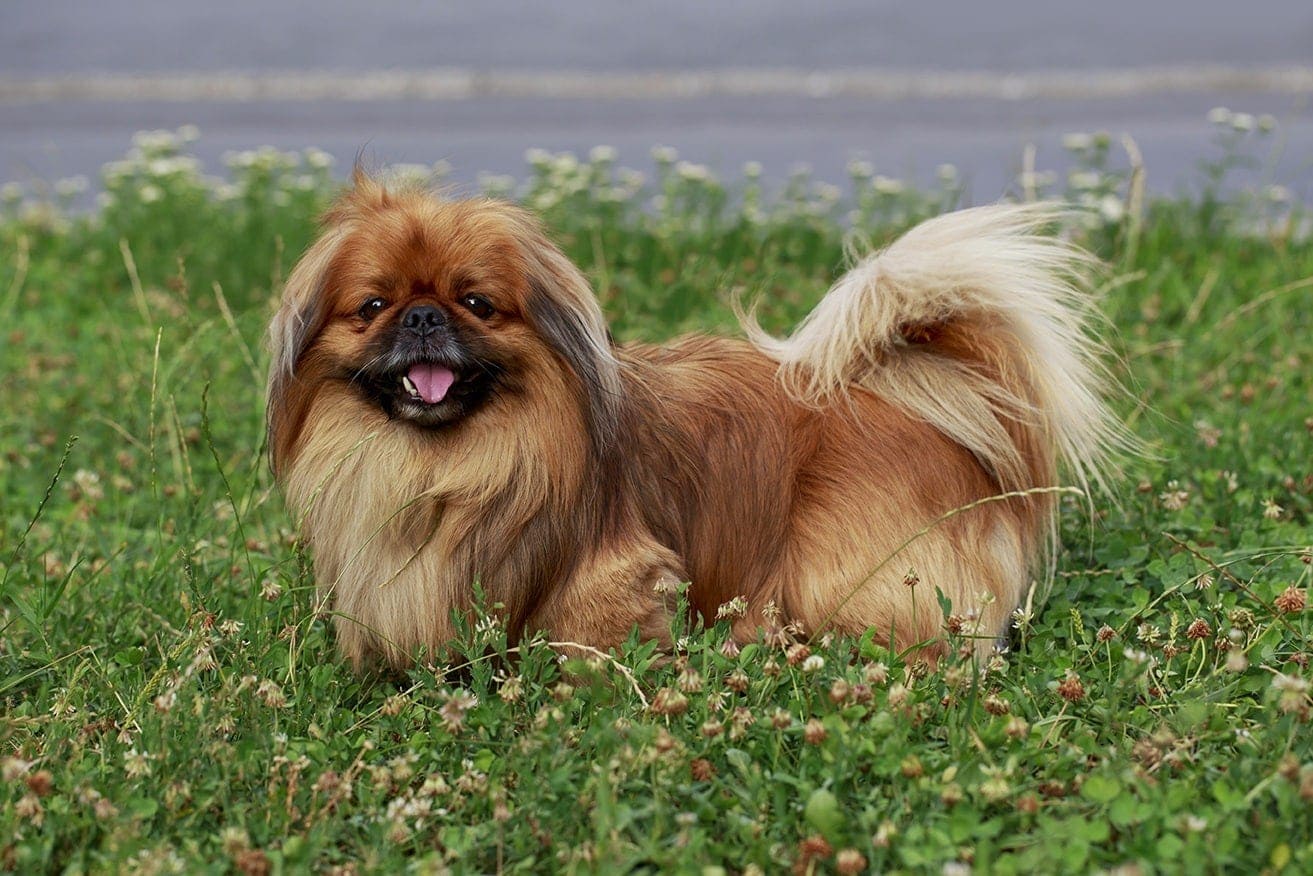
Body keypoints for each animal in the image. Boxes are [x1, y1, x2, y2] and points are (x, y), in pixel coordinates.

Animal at [263, 170, 1118, 672]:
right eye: (373, 306)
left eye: (476, 303)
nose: (421, 317)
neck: (444, 464)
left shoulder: (610, 574)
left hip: (847, 572)